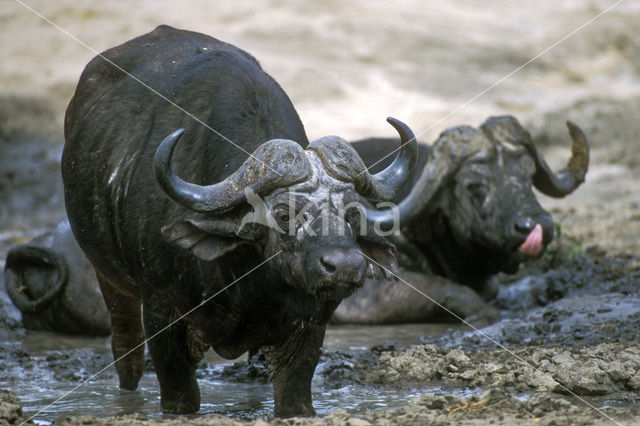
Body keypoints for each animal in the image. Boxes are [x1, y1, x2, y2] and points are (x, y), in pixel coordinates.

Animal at [62, 25, 418, 416]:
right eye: (282, 214)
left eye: (352, 214)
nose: (344, 266)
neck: (242, 282)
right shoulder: (160, 310)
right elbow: (179, 394)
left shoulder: (310, 323)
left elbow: (294, 395)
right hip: (111, 281)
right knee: (126, 352)